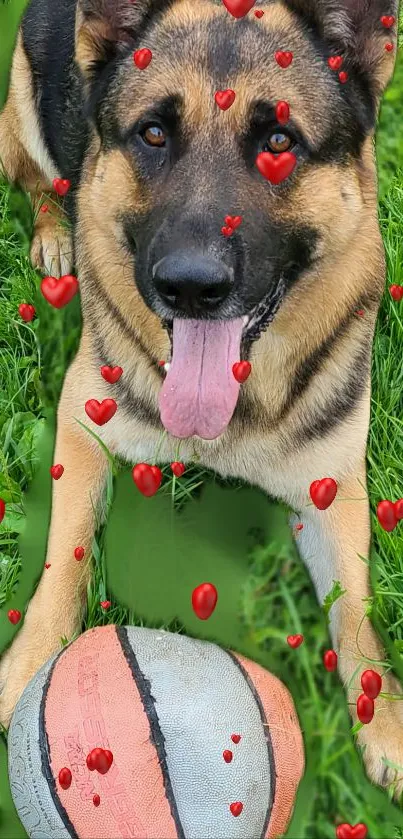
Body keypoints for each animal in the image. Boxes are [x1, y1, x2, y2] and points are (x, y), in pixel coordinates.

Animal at [0, 0, 403, 800]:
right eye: (153, 134)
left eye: (279, 142)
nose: (189, 286)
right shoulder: (79, 426)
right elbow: (66, 548)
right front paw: (32, 661)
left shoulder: (333, 488)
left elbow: (357, 611)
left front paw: (387, 722)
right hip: (21, 119)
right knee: (42, 187)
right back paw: (55, 239)